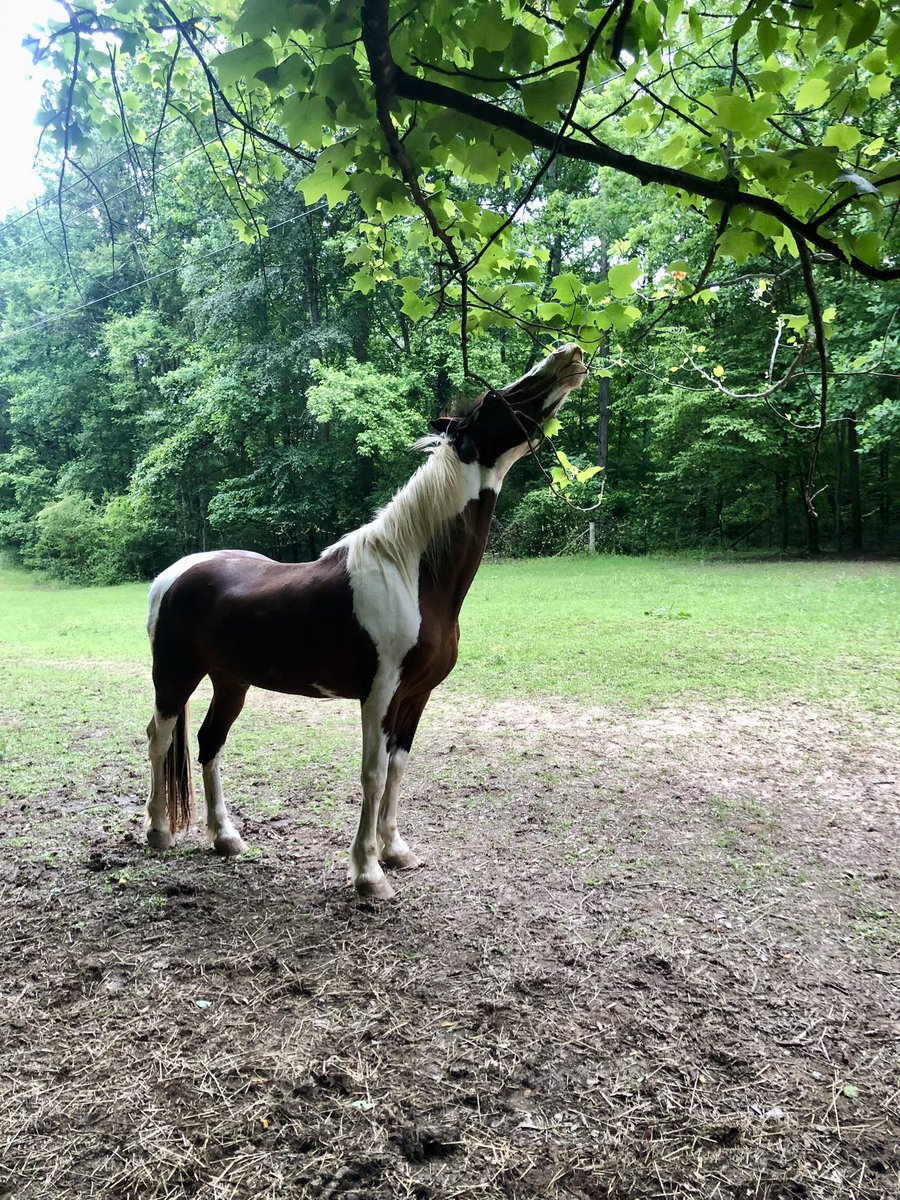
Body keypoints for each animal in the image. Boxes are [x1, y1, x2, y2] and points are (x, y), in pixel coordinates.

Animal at [145, 343, 586, 898]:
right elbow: (372, 773)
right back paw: (158, 831)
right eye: (494, 399)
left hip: (231, 682)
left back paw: (226, 838)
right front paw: (368, 873)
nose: (570, 355)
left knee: (209, 742)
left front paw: (396, 851)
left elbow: (398, 768)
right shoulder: (380, 694)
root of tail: (173, 575)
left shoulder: (416, 695)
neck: (412, 572)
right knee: (160, 737)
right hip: (175, 677)